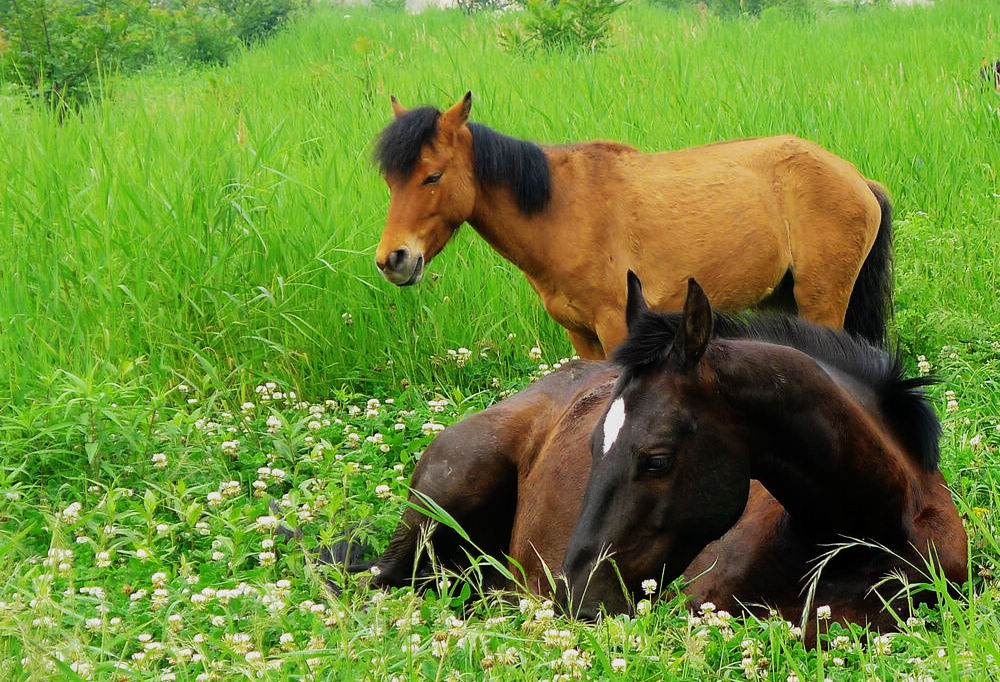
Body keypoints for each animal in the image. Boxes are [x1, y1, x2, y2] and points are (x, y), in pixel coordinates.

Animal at [372, 93, 896, 358]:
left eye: (432, 176)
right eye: (390, 179)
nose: (393, 259)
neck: (562, 210)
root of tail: (858, 180)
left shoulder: (616, 326)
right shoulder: (582, 338)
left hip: (821, 301)